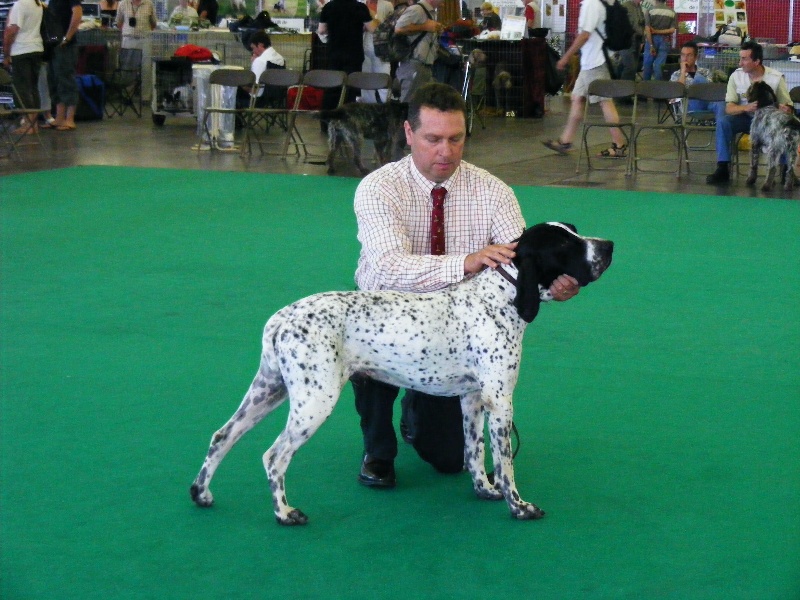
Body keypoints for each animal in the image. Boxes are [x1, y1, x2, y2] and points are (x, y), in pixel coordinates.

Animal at [191, 221, 616, 524]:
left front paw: (484, 490)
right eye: (563, 246)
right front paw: (519, 507)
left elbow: (474, 452)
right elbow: (506, 464)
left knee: (222, 436)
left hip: (269, 389)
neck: (499, 297)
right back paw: (284, 513)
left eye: (575, 231)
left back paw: (202, 493)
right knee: (274, 456)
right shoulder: (500, 400)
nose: (609, 245)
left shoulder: (472, 399)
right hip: (315, 400)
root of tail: (281, 318)